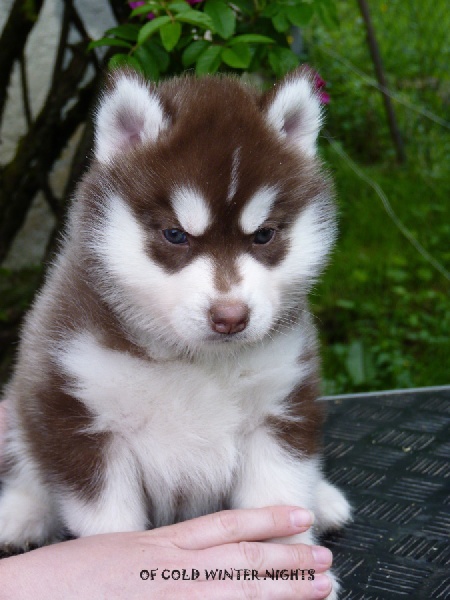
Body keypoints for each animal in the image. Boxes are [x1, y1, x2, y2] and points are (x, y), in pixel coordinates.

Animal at [0, 67, 350, 597]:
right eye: (175, 235)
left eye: (263, 235)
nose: (230, 317)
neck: (192, 360)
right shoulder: (79, 415)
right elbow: (110, 528)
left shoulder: (280, 405)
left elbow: (277, 500)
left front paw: (296, 567)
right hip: (25, 402)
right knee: (26, 459)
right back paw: (20, 513)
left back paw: (324, 499)